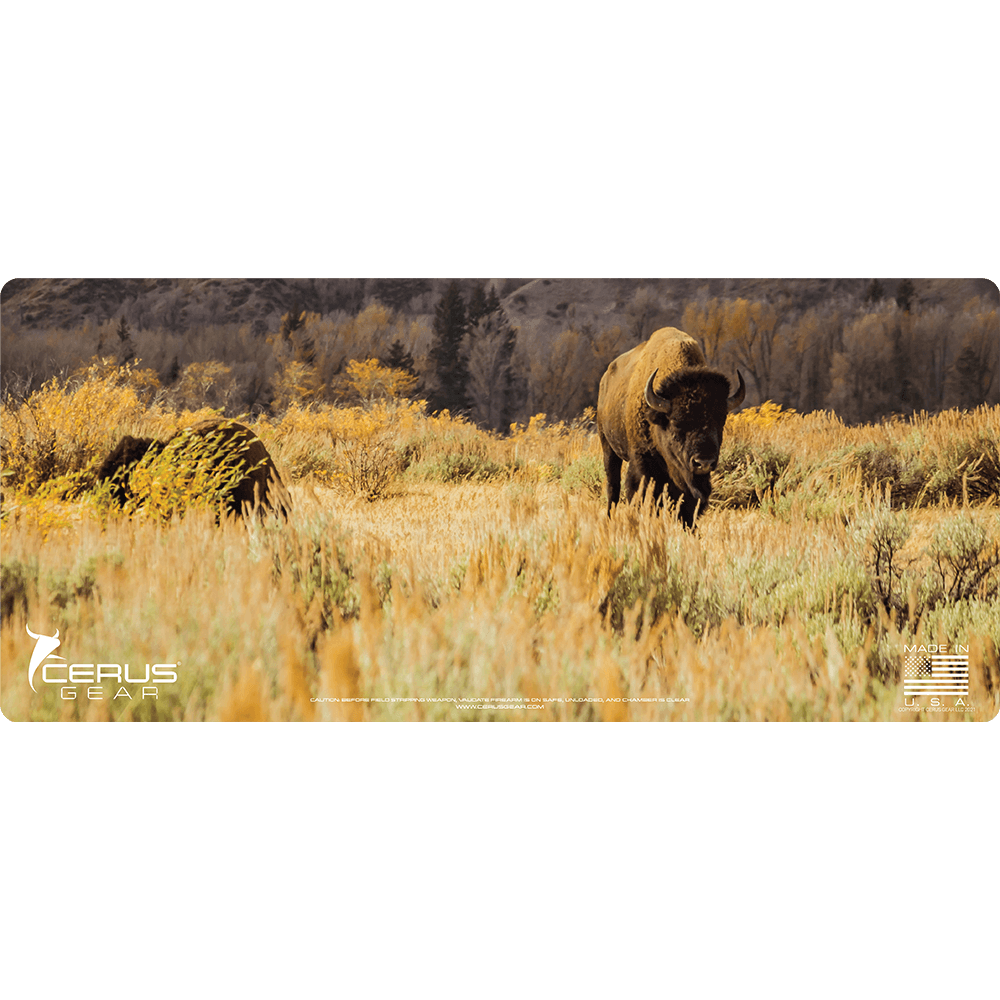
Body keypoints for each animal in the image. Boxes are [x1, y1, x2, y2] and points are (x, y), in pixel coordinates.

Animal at [596, 327, 745, 526]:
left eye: (720, 421)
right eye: (676, 422)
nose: (704, 462)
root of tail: (605, 379)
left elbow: (687, 505)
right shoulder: (643, 462)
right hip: (608, 447)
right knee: (613, 487)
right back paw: (610, 519)